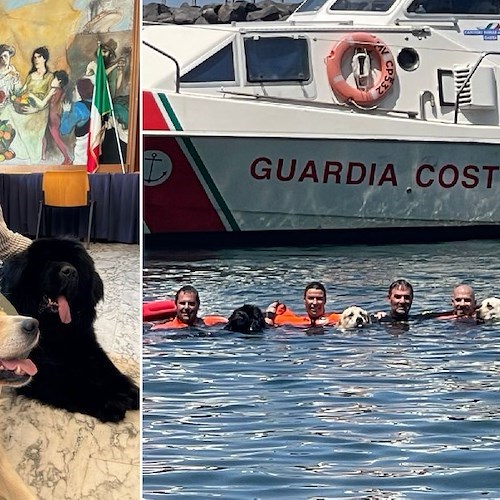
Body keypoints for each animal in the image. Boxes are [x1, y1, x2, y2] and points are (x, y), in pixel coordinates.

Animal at [1, 238, 140, 422]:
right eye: (48, 261)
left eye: (76, 264)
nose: (70, 271)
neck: (55, 330)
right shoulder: (36, 364)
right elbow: (69, 381)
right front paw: (109, 400)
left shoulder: (86, 343)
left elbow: (106, 366)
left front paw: (127, 389)